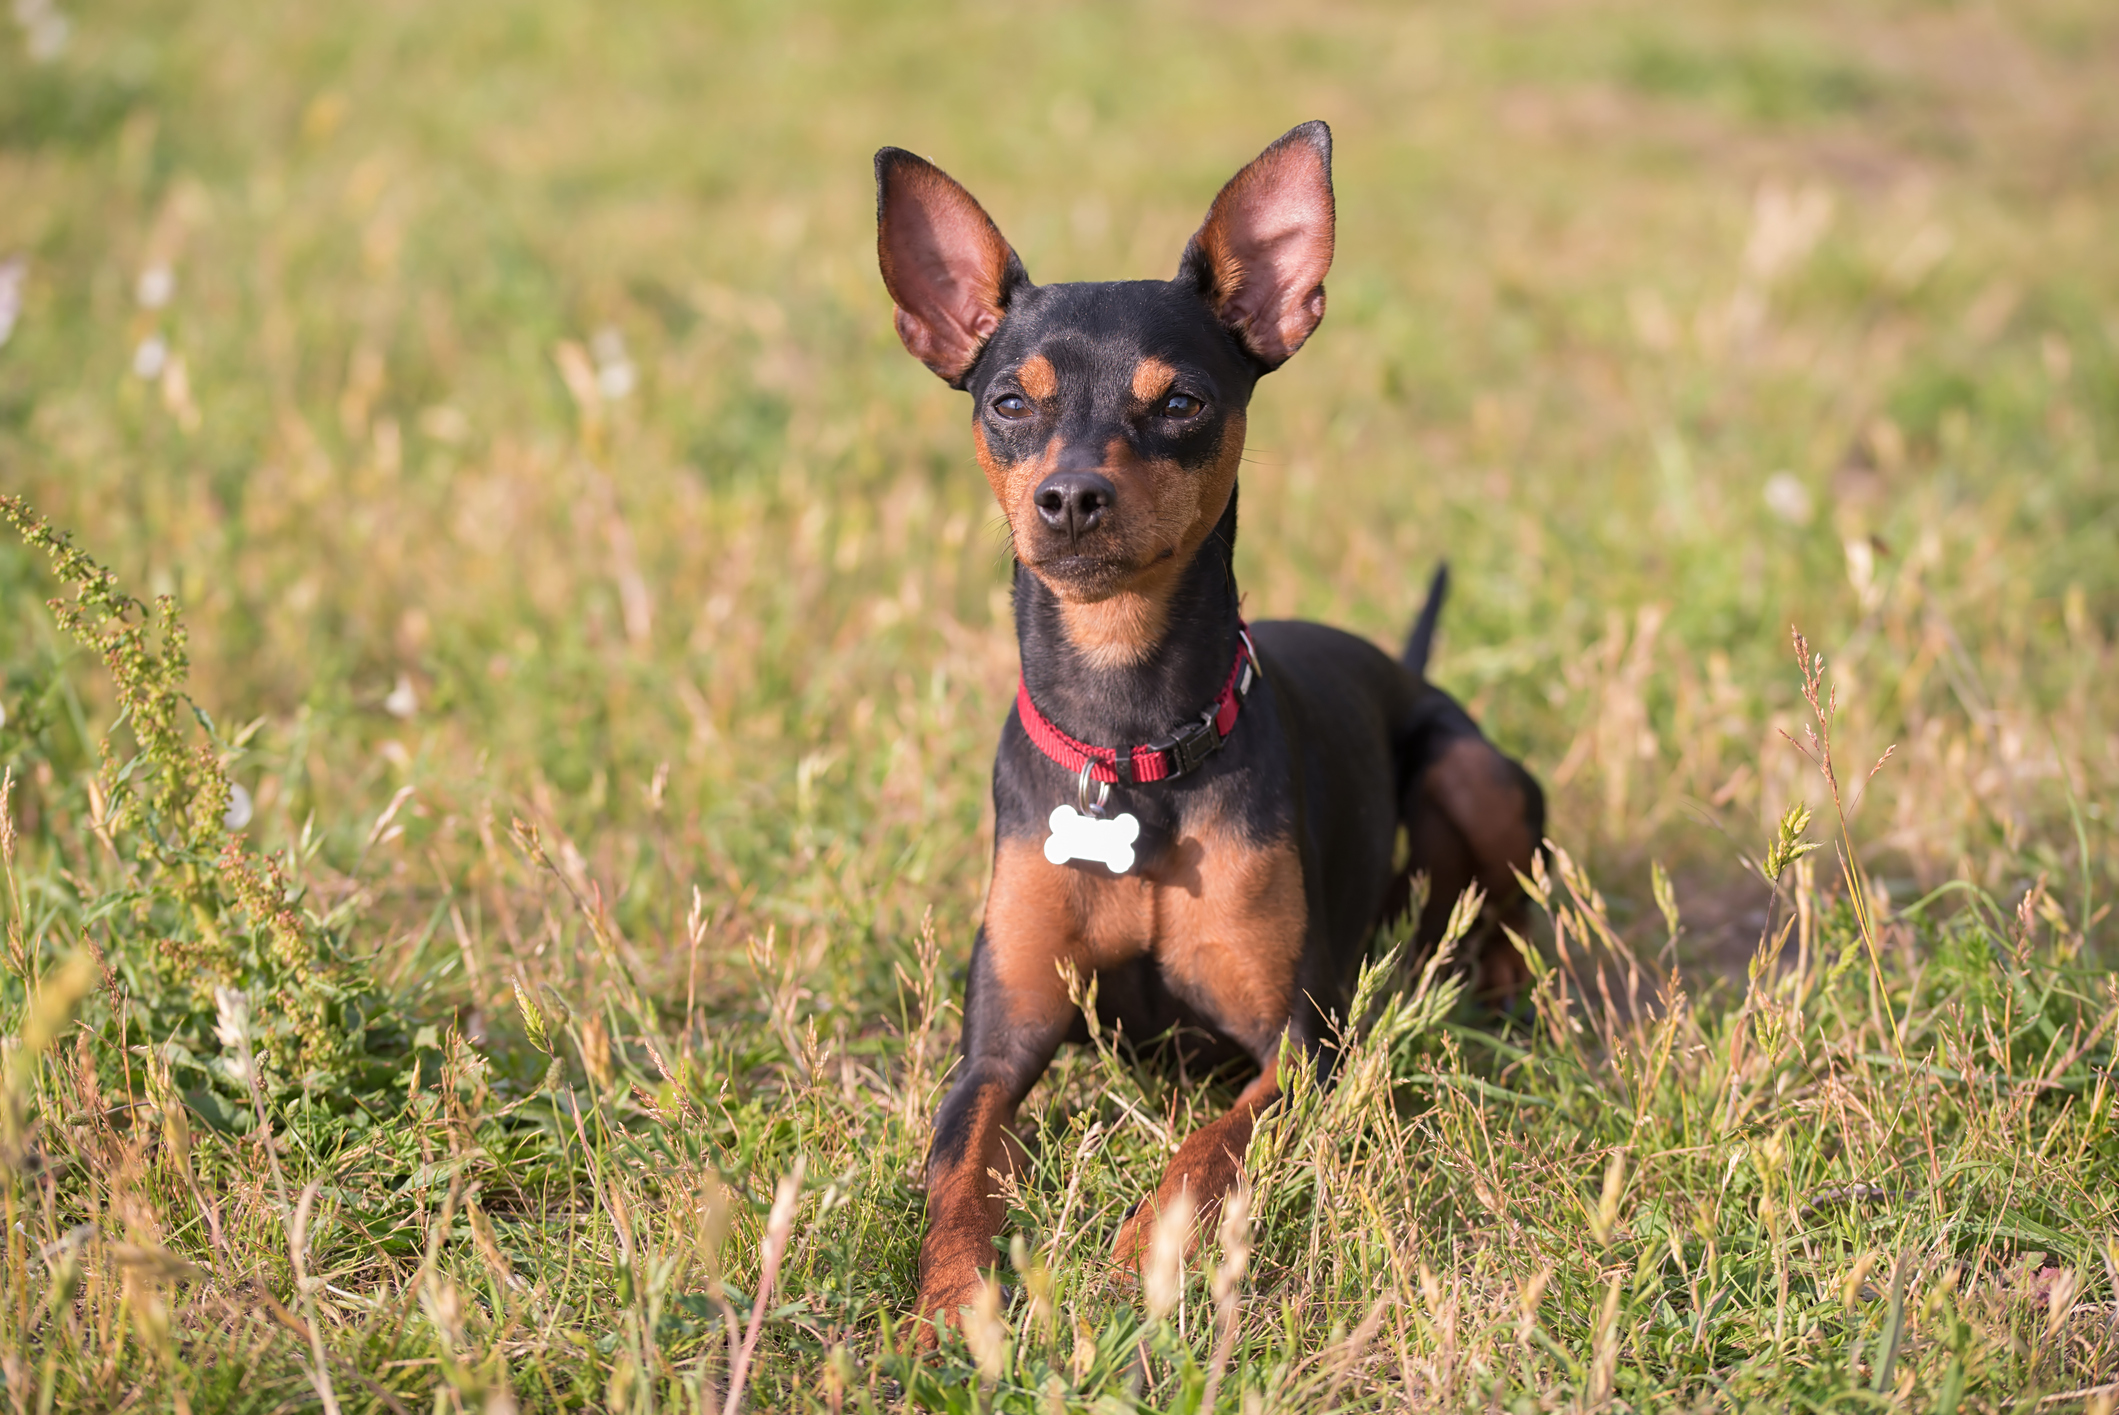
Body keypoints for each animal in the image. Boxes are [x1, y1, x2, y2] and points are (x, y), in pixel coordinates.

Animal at [868, 121, 1551, 1330]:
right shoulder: (993, 1048)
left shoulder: (1299, 1047)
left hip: (1471, 771)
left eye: (1181, 400)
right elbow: (957, 1174)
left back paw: (1493, 990)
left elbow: (1205, 1151)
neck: (1129, 736)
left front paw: (1137, 1252)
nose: (1069, 498)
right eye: (1007, 403)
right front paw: (951, 1305)